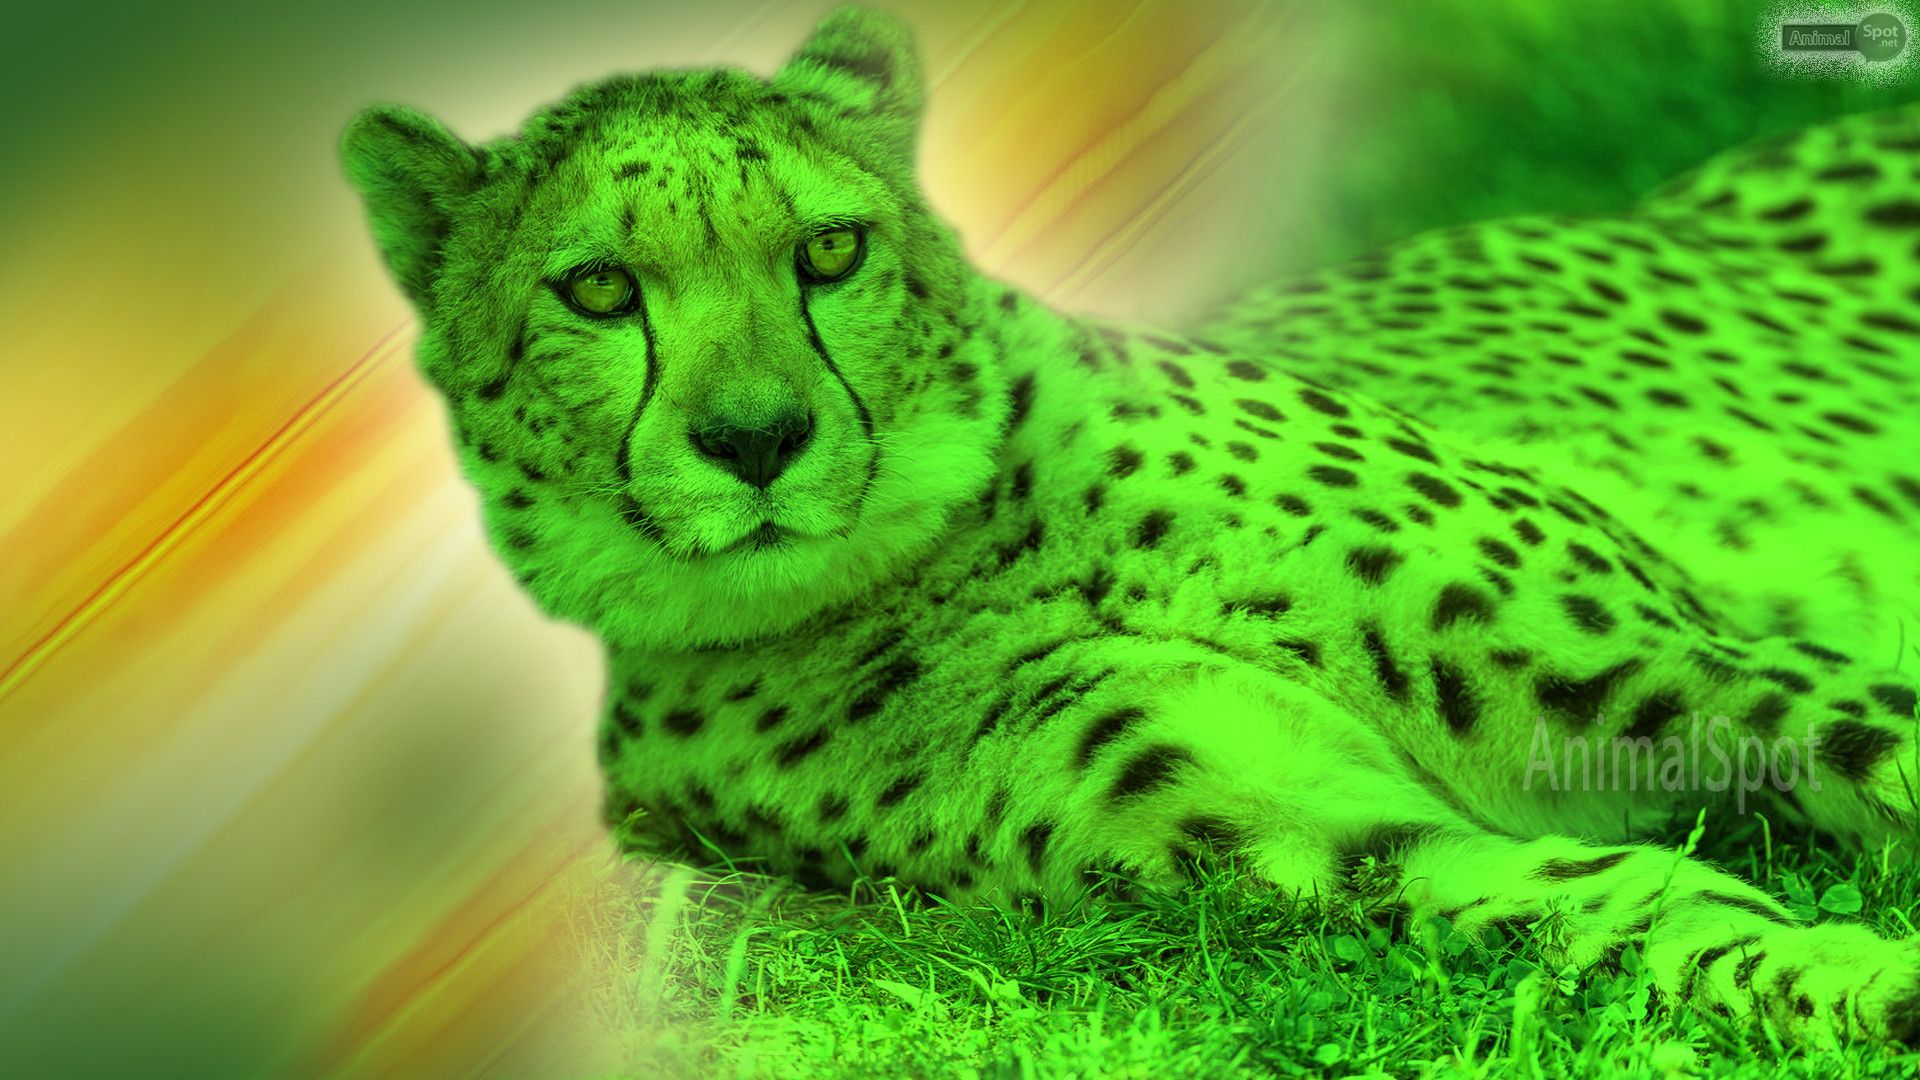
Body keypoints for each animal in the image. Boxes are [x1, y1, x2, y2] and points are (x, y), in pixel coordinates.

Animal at [340, 6, 1920, 1049]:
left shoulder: (1683, 664)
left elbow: (1872, 744)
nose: (756, 441)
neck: (953, 553)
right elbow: (1611, 905)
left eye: (829, 249)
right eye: (599, 290)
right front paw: (1856, 984)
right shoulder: (1322, 842)